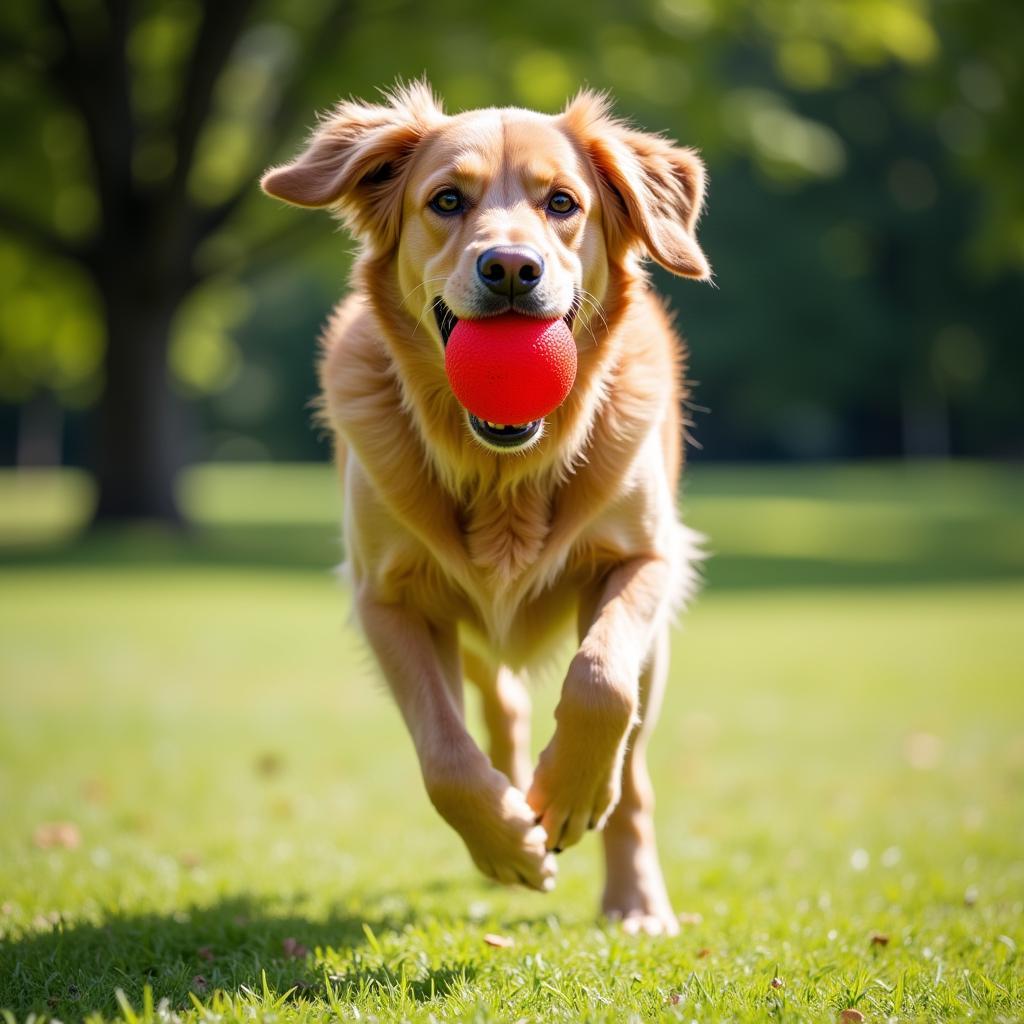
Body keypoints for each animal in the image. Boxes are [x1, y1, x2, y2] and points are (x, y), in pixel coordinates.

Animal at [264, 83, 708, 937]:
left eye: (562, 202)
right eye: (446, 200)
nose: (510, 268)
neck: (506, 473)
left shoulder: (645, 559)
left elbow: (600, 680)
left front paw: (571, 797)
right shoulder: (388, 597)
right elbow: (443, 752)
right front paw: (507, 840)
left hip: (657, 639)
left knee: (632, 766)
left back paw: (633, 896)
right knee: (499, 702)